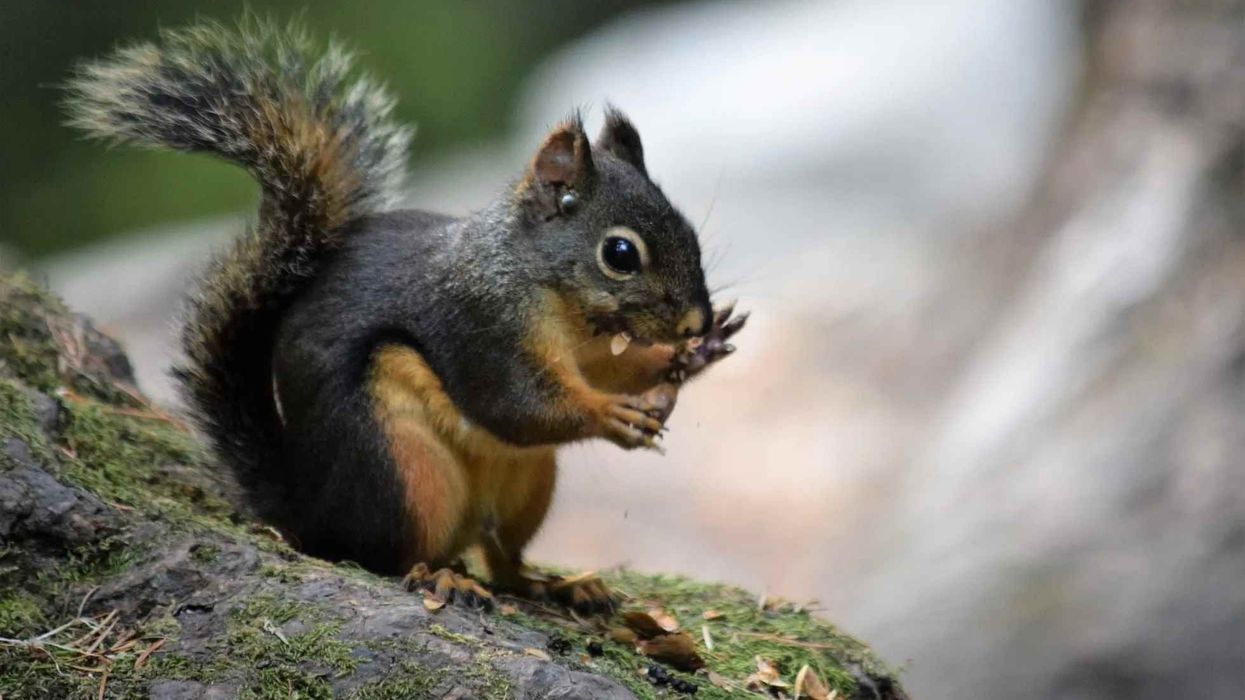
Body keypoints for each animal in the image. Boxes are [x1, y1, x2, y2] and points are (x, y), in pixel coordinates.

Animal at [65, 19, 745, 613]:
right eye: (621, 254)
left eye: (688, 230)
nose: (692, 321)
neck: (545, 288)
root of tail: (312, 512)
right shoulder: (480, 325)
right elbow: (518, 405)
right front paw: (611, 413)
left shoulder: (585, 349)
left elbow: (608, 370)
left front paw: (694, 355)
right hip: (406, 471)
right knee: (391, 555)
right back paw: (441, 576)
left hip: (527, 482)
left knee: (502, 557)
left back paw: (556, 585)